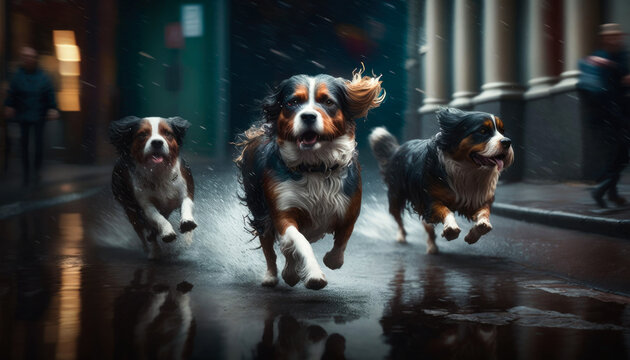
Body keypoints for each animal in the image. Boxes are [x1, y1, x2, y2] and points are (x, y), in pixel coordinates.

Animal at [110, 116, 196, 258]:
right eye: (142, 134)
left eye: (167, 133)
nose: (157, 142)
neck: (158, 172)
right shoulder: (144, 204)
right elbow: (157, 218)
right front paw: (167, 232)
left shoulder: (186, 188)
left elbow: (186, 204)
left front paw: (187, 222)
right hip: (130, 210)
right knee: (142, 232)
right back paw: (152, 251)